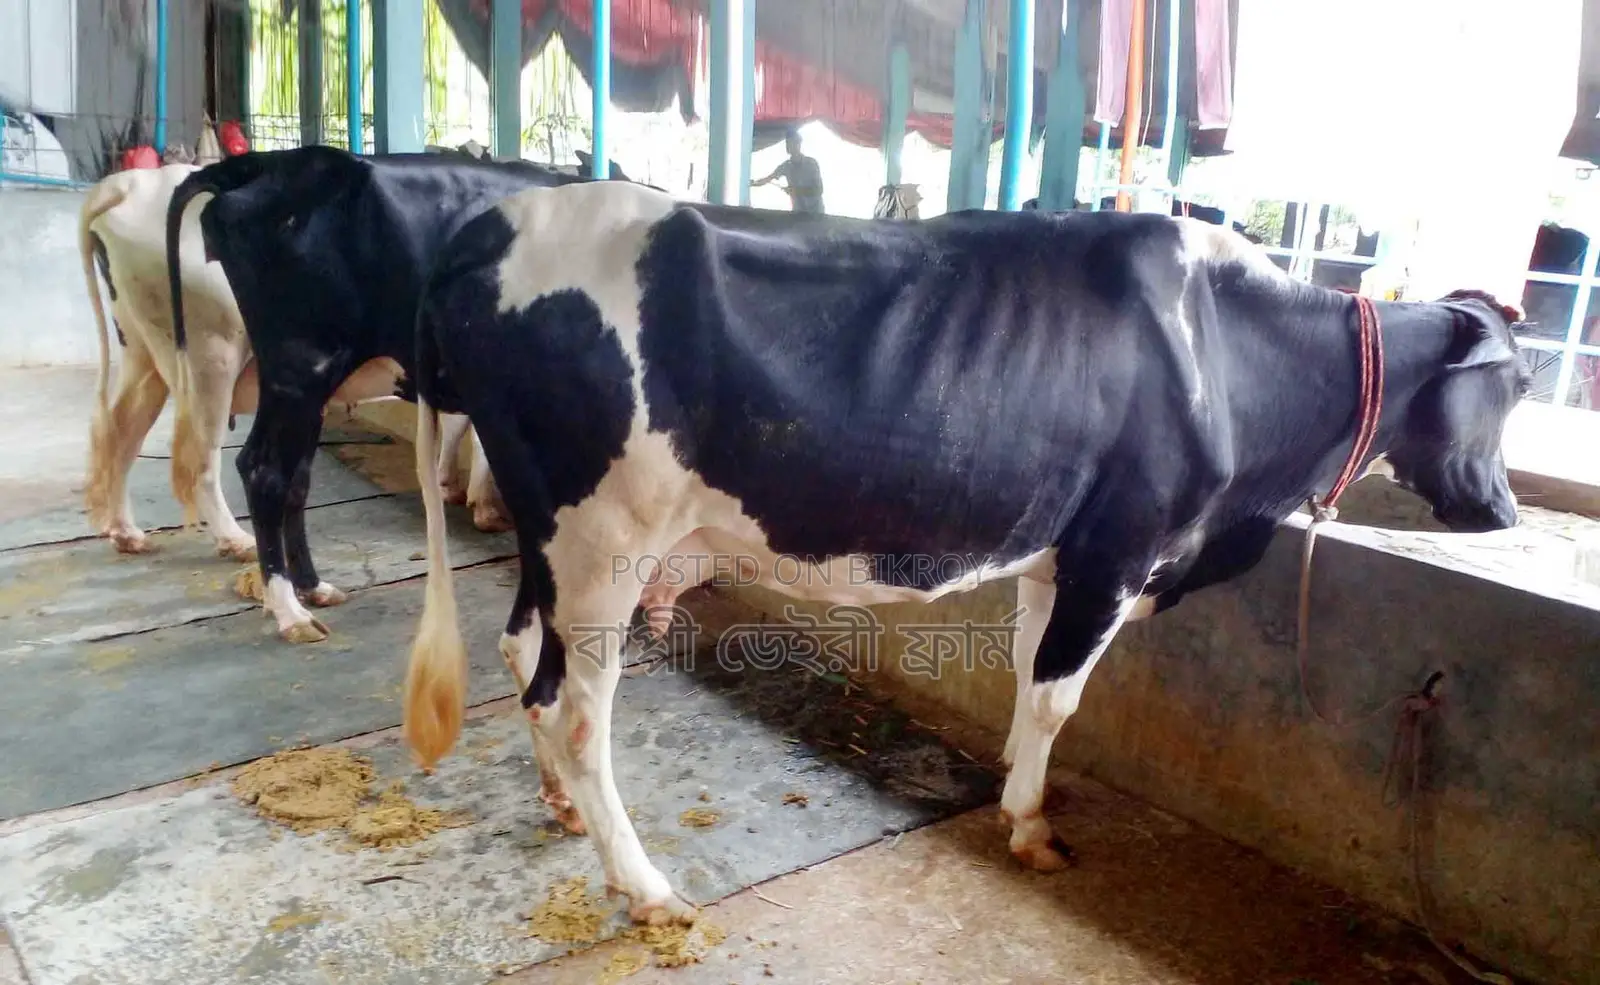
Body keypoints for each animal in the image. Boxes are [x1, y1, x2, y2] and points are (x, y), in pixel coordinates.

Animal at [165, 145, 602, 643]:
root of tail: (268, 161)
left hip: (307, 384)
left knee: (296, 477)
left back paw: (313, 587)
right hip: (298, 367)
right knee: (264, 471)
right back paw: (290, 612)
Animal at [399, 181, 1528, 924]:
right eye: (1511, 385)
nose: (1507, 511)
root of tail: (499, 222)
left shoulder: (1058, 554)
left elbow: (1031, 678)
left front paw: (1016, 792)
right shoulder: (1120, 548)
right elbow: (1060, 696)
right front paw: (1029, 825)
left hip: (556, 542)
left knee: (520, 652)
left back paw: (560, 808)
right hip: (604, 544)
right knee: (575, 708)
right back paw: (645, 886)